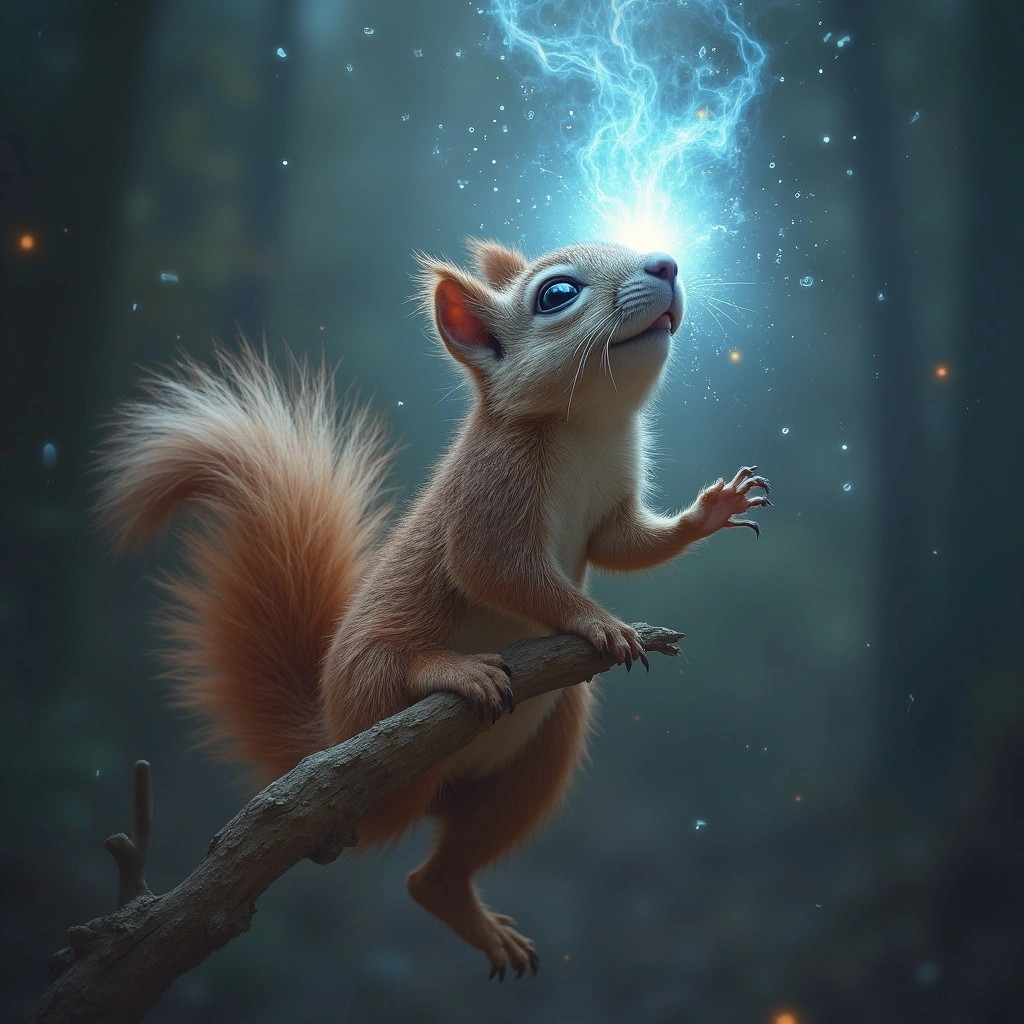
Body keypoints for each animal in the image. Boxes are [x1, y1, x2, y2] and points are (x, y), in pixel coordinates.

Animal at [96, 238, 771, 981]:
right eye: (557, 295)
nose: (668, 266)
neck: (585, 426)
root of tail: (333, 735)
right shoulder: (491, 490)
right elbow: (495, 569)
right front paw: (598, 620)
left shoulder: (612, 504)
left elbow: (628, 545)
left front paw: (714, 511)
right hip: (377, 699)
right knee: (398, 712)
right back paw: (447, 672)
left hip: (542, 749)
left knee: (441, 869)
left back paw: (462, 906)